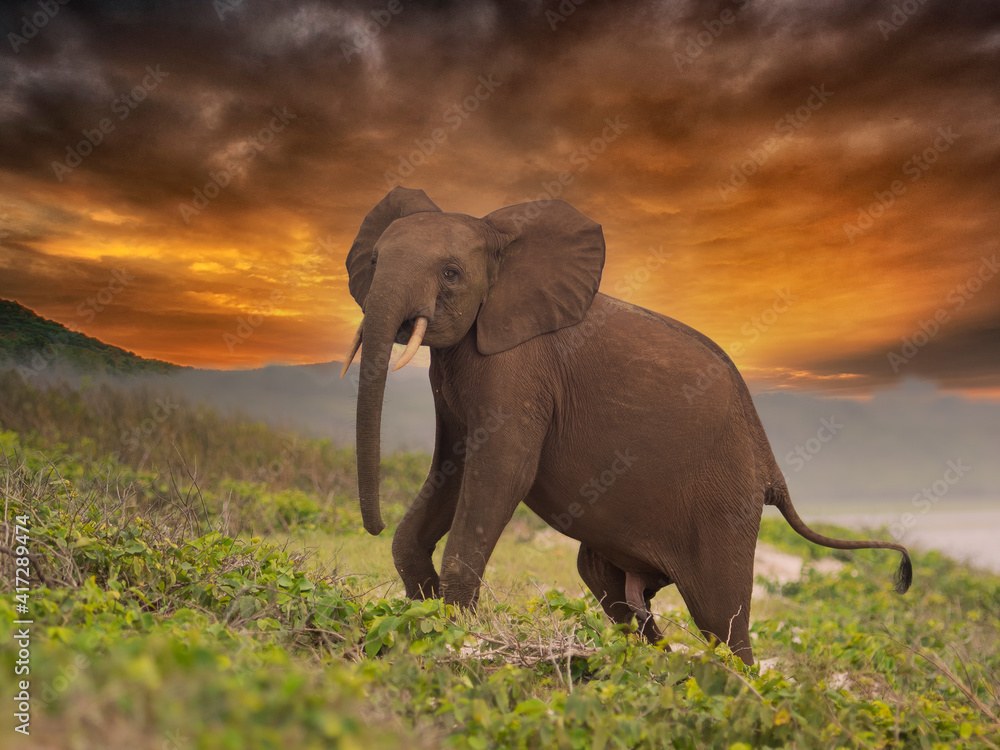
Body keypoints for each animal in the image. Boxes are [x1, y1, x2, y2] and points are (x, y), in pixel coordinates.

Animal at [341, 186, 911, 665]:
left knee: (721, 616)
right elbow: (452, 469)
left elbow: (503, 471)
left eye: (451, 274)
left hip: (724, 506)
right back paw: (653, 662)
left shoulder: (518, 369)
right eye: (373, 261)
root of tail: (771, 465)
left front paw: (454, 636)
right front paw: (424, 614)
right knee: (608, 585)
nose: (371, 524)